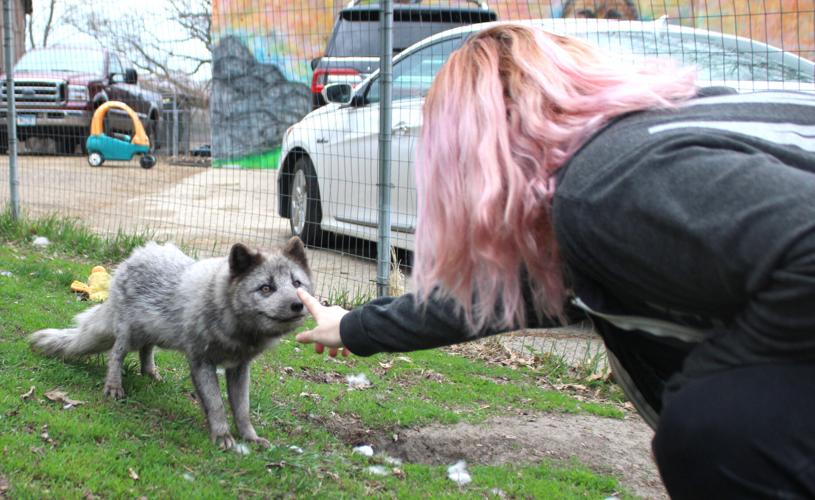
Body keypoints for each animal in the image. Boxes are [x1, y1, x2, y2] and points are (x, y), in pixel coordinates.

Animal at [29, 237, 312, 450]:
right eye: (266, 288)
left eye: (296, 283)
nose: (298, 305)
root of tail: (132, 257)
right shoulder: (201, 361)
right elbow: (216, 405)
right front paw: (222, 436)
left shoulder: (240, 368)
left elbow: (242, 409)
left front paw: (250, 438)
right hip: (129, 333)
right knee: (115, 355)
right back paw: (114, 386)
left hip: (155, 334)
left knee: (146, 350)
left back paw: (150, 373)